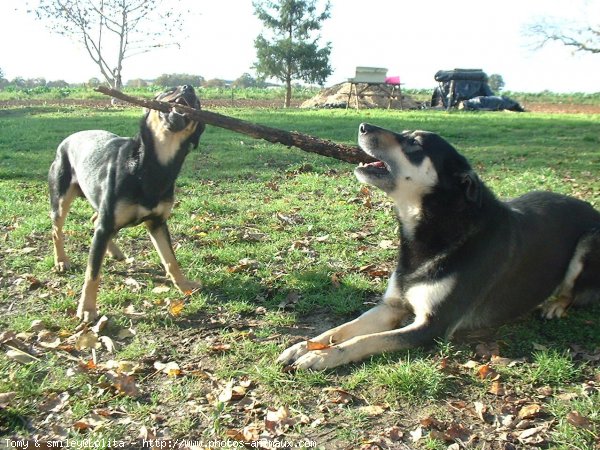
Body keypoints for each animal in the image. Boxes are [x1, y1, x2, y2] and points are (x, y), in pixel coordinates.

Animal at [49, 85, 204, 324]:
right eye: (169, 89)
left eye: (197, 103)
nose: (189, 87)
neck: (151, 166)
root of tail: (68, 139)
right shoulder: (107, 226)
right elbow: (92, 272)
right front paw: (87, 309)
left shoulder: (158, 223)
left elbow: (171, 259)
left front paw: (184, 285)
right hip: (61, 198)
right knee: (57, 230)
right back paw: (62, 261)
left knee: (94, 219)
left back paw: (114, 252)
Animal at [278, 123, 600, 370]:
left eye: (415, 144)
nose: (362, 126)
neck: (434, 228)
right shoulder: (392, 306)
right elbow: (342, 329)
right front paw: (304, 346)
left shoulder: (432, 326)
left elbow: (365, 340)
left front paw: (322, 357)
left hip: (588, 243)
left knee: (572, 291)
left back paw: (555, 305)